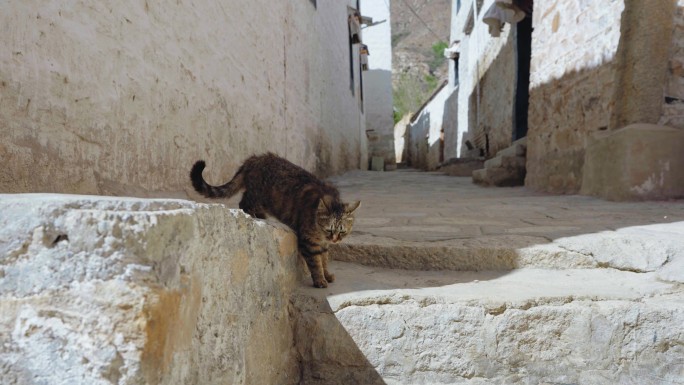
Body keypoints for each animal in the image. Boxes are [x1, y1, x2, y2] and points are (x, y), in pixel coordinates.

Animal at [187, 152, 358, 286]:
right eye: (329, 229)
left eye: (342, 232)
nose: (335, 239)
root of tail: (254, 159)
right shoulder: (309, 242)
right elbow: (316, 263)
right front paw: (320, 280)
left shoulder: (322, 245)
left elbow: (324, 260)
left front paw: (327, 275)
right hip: (257, 196)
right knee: (243, 203)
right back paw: (255, 215)